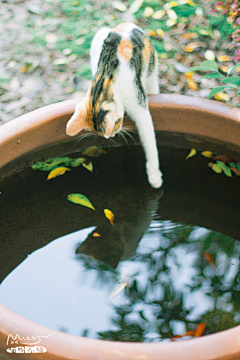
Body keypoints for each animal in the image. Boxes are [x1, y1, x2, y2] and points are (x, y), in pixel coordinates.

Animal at [66, 22, 162, 188]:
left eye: (117, 122)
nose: (113, 134)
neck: (103, 80)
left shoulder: (138, 103)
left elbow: (150, 142)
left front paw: (154, 177)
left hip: (151, 68)